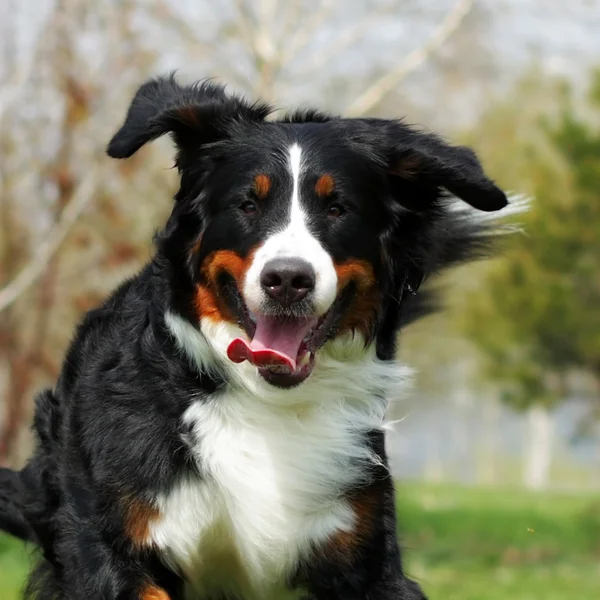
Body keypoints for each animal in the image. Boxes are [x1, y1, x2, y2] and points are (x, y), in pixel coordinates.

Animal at [0, 75, 510, 600]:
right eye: (248, 204)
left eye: (338, 209)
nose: (287, 279)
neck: (266, 403)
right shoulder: (112, 546)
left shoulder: (361, 551)